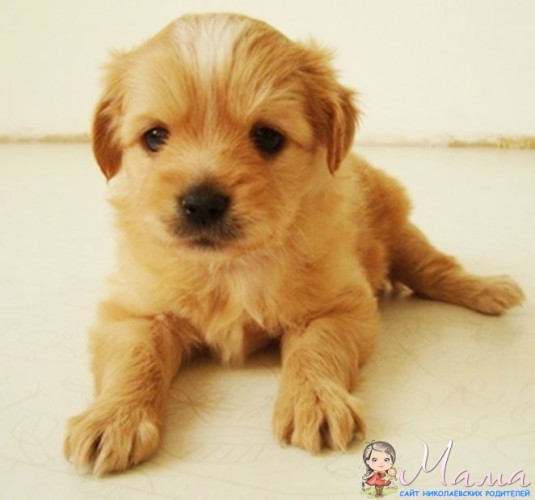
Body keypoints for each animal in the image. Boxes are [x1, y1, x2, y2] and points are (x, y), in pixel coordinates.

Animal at [64, 13, 524, 475]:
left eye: (268, 137)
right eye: (155, 136)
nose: (202, 203)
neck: (231, 266)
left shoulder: (338, 306)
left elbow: (316, 349)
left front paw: (315, 400)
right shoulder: (135, 312)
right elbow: (134, 358)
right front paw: (113, 417)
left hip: (400, 232)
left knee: (437, 268)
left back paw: (489, 289)